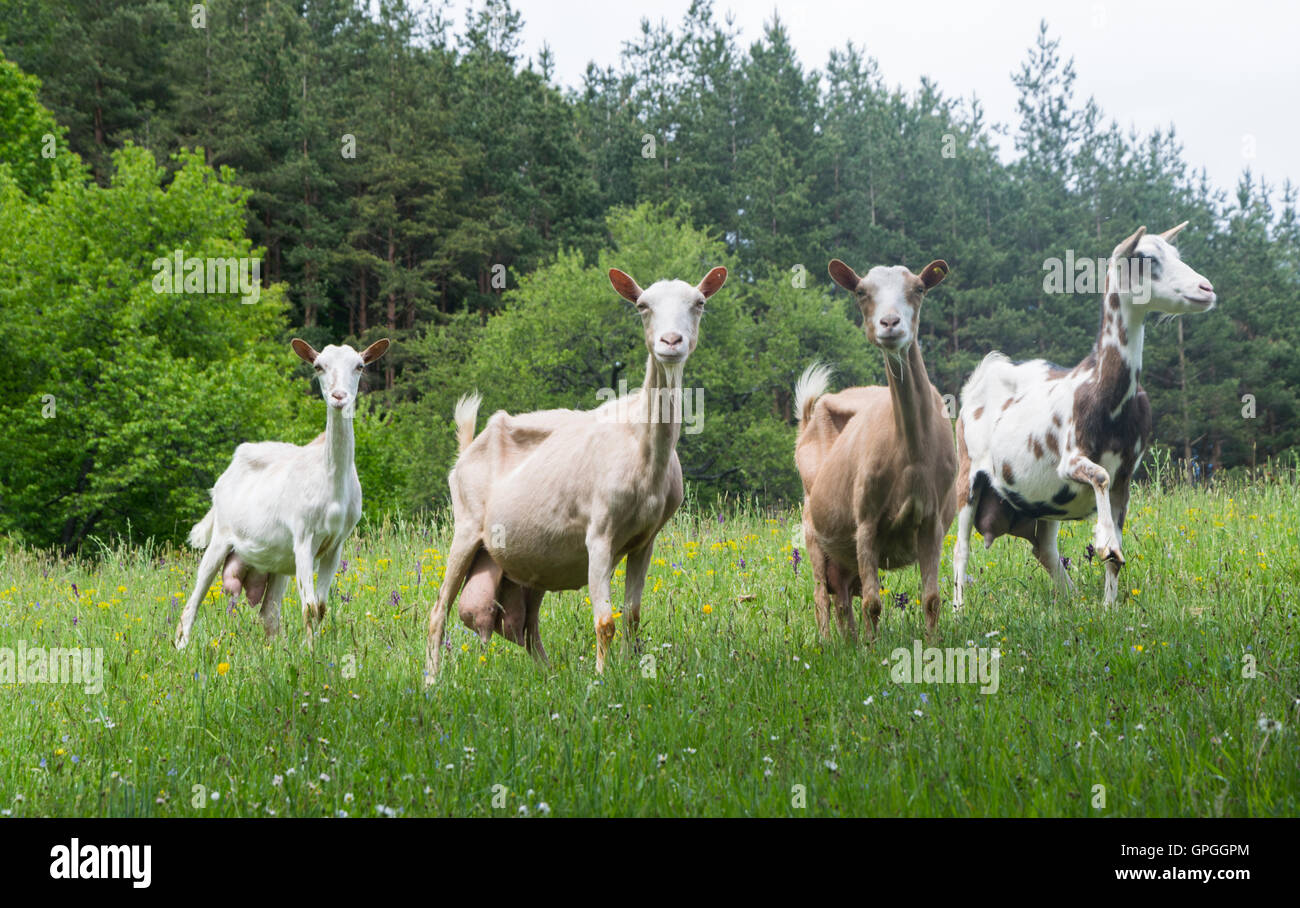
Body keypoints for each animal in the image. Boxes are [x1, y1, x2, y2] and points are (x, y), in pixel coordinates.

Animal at [178, 338, 390, 642]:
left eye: (359, 366)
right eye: (318, 366)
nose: (339, 396)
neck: (331, 484)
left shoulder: (336, 544)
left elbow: (321, 607)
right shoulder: (304, 537)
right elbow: (309, 607)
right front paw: (310, 651)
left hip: (277, 561)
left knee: (269, 614)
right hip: (220, 537)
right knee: (190, 606)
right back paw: (183, 646)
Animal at [790, 254, 956, 637]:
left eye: (919, 288)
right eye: (861, 292)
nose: (890, 323)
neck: (912, 454)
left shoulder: (932, 521)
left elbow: (931, 599)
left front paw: (933, 644)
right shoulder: (865, 521)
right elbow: (873, 603)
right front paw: (872, 648)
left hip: (843, 557)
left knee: (842, 599)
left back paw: (849, 641)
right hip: (813, 532)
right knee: (822, 597)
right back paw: (826, 644)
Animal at [951, 219, 1211, 603]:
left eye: (1176, 253)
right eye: (1145, 257)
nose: (1206, 289)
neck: (1104, 394)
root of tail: (986, 371)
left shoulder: (1125, 477)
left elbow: (1116, 556)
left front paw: (1109, 607)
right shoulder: (1070, 459)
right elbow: (1099, 477)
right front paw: (1104, 540)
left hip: (1044, 503)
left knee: (1044, 550)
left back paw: (1071, 600)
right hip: (967, 475)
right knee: (961, 548)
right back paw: (957, 608)